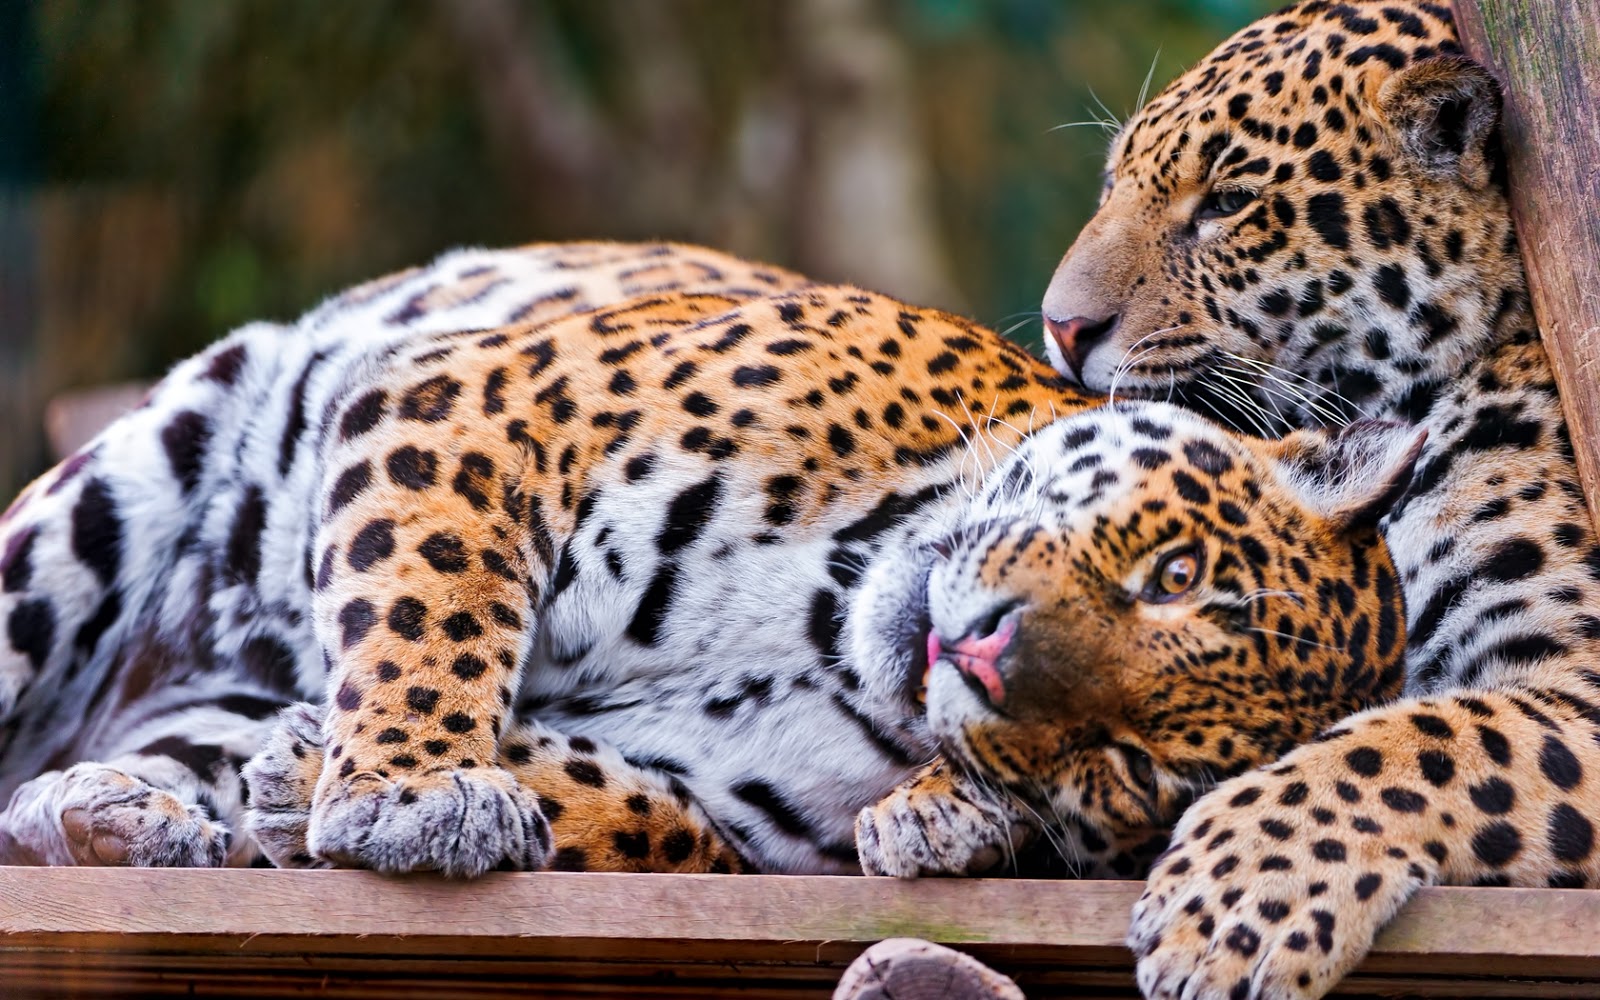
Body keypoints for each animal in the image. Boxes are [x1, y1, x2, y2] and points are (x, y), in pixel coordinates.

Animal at [0, 240, 1420, 881]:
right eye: (1170, 573)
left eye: (1129, 766)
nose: (981, 652)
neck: (821, 622)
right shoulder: (488, 402)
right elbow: (433, 607)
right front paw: (413, 786)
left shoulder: (729, 812)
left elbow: (650, 819)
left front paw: (307, 779)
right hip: (114, 494)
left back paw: (119, 808)